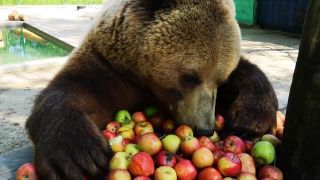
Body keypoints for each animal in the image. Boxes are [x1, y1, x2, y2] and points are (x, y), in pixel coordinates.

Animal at [25, 0, 278, 179]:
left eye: (220, 79)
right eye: (190, 77)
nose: (205, 128)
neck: (146, 82)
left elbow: (247, 74)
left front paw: (249, 119)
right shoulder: (109, 68)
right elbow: (73, 90)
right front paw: (80, 156)